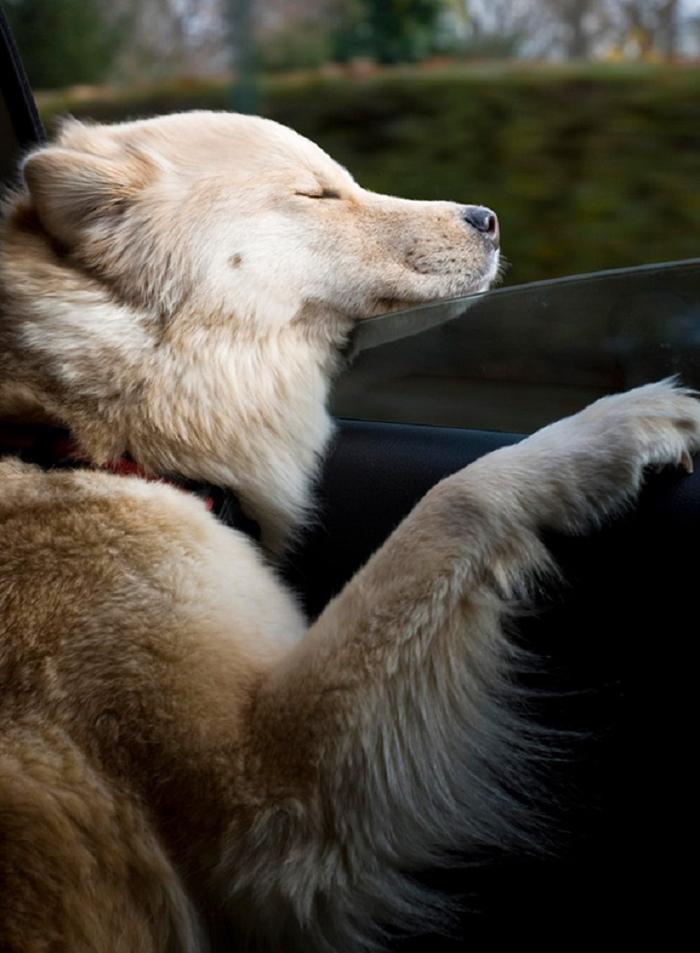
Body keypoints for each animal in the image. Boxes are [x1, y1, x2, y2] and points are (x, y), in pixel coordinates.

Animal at [0, 109, 696, 944]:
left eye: (344, 179)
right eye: (316, 194)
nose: (488, 219)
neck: (83, 437)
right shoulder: (265, 800)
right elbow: (455, 497)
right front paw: (607, 432)